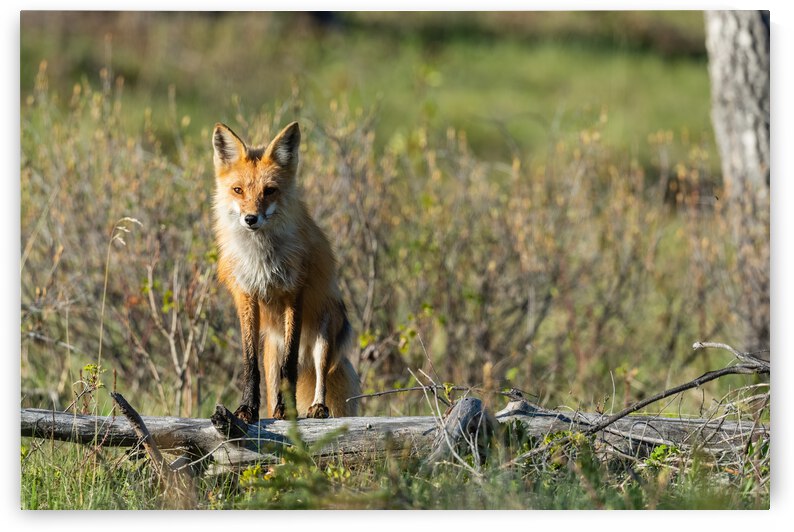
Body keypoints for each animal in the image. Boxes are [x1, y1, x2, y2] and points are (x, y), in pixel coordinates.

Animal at [212, 121, 361, 422]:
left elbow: (290, 366)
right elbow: (249, 364)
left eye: (269, 190)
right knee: (272, 382)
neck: (262, 259)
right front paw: (246, 409)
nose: (251, 219)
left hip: (324, 335)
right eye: (238, 190)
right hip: (271, 351)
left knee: (318, 372)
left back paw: (317, 407)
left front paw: (289, 410)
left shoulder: (294, 293)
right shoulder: (246, 295)